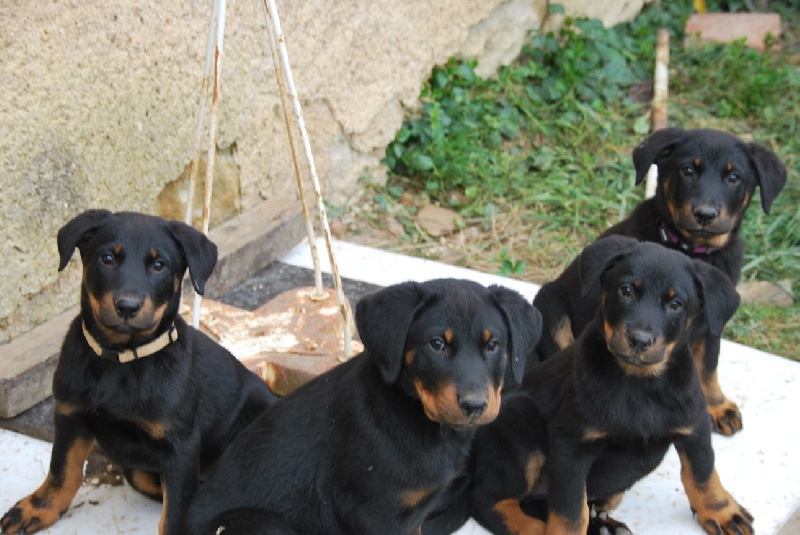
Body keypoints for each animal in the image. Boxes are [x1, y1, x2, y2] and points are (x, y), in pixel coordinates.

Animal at [0, 209, 276, 535]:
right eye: (107, 258)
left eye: (159, 265)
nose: (127, 307)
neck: (119, 360)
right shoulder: (70, 414)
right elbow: (62, 470)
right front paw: (36, 510)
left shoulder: (180, 446)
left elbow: (174, 515)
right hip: (138, 472)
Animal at [181, 278, 544, 532]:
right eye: (437, 344)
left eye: (493, 345)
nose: (475, 405)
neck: (413, 415)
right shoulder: (376, 515)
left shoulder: (412, 516)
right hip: (263, 524)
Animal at [468, 237, 752, 535]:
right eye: (626, 291)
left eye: (676, 304)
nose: (639, 340)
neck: (638, 383)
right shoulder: (572, 446)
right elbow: (570, 513)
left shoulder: (694, 426)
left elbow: (703, 473)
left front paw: (723, 512)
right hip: (521, 427)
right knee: (488, 499)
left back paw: (605, 527)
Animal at [532, 129, 788, 436]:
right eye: (687, 170)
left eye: (734, 177)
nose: (705, 214)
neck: (690, 247)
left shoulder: (713, 321)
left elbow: (708, 365)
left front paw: (717, 406)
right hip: (550, 302)